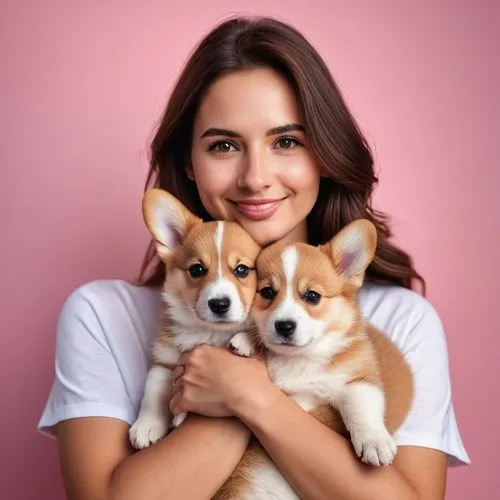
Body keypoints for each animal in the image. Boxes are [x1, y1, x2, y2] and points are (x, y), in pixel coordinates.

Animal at [129, 189, 260, 452]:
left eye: (241, 270)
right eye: (197, 270)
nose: (219, 304)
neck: (209, 332)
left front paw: (245, 340)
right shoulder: (165, 358)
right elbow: (153, 386)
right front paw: (147, 425)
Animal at [215, 220, 414, 500]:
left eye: (312, 296)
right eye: (267, 292)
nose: (284, 326)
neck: (301, 359)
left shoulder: (359, 376)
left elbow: (359, 404)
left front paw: (374, 442)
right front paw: (246, 340)